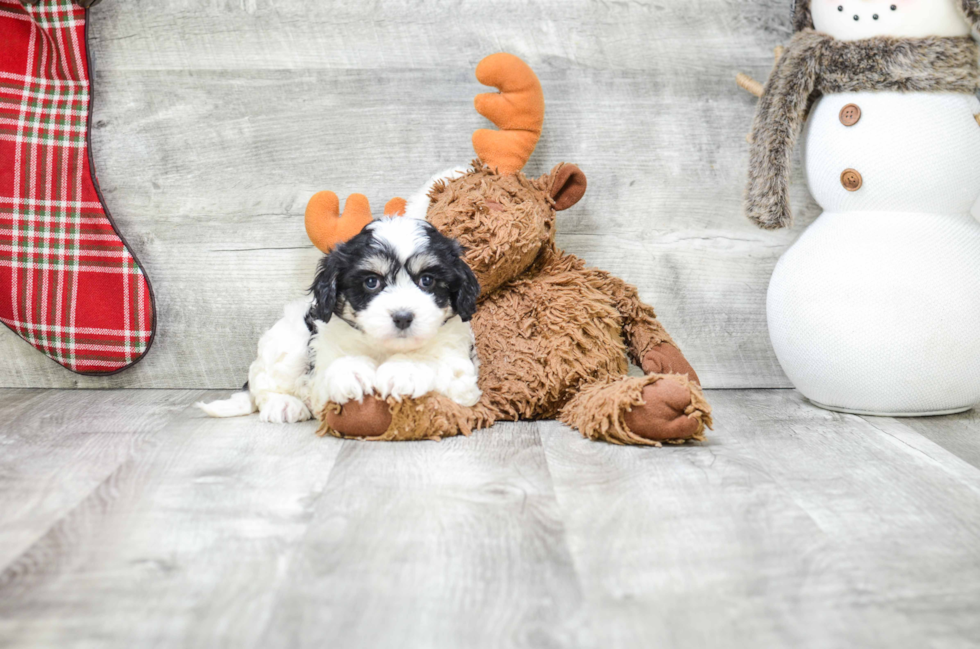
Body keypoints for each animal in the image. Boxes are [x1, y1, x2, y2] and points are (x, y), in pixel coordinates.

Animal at [197, 215, 480, 422]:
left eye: (427, 280)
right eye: (371, 282)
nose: (402, 317)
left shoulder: (461, 370)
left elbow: (438, 363)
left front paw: (404, 370)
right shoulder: (321, 365)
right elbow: (333, 368)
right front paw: (351, 372)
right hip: (287, 344)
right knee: (263, 385)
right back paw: (284, 404)